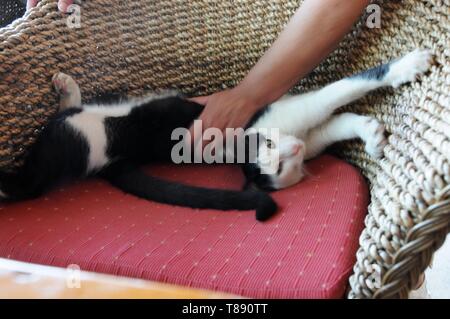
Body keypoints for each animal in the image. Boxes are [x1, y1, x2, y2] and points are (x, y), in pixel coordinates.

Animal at [0, 48, 430, 221]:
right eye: (276, 162)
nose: (293, 148)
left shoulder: (311, 134)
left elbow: (338, 122)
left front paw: (371, 134)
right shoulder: (299, 111)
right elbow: (344, 89)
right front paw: (406, 67)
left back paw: (67, 88)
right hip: (69, 138)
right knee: (27, 183)